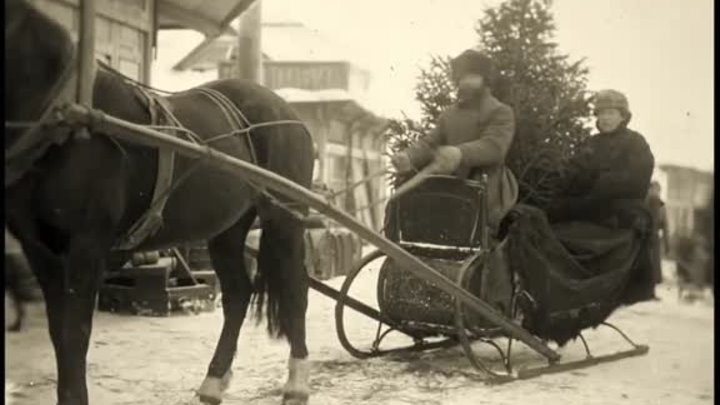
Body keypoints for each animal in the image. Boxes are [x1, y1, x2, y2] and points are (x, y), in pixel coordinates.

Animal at [4, 1, 316, 402]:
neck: (63, 117)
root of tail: (289, 113)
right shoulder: (41, 250)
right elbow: (59, 334)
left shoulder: (85, 246)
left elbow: (75, 335)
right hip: (228, 228)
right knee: (237, 294)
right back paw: (213, 380)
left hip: (285, 218)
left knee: (295, 288)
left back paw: (297, 380)